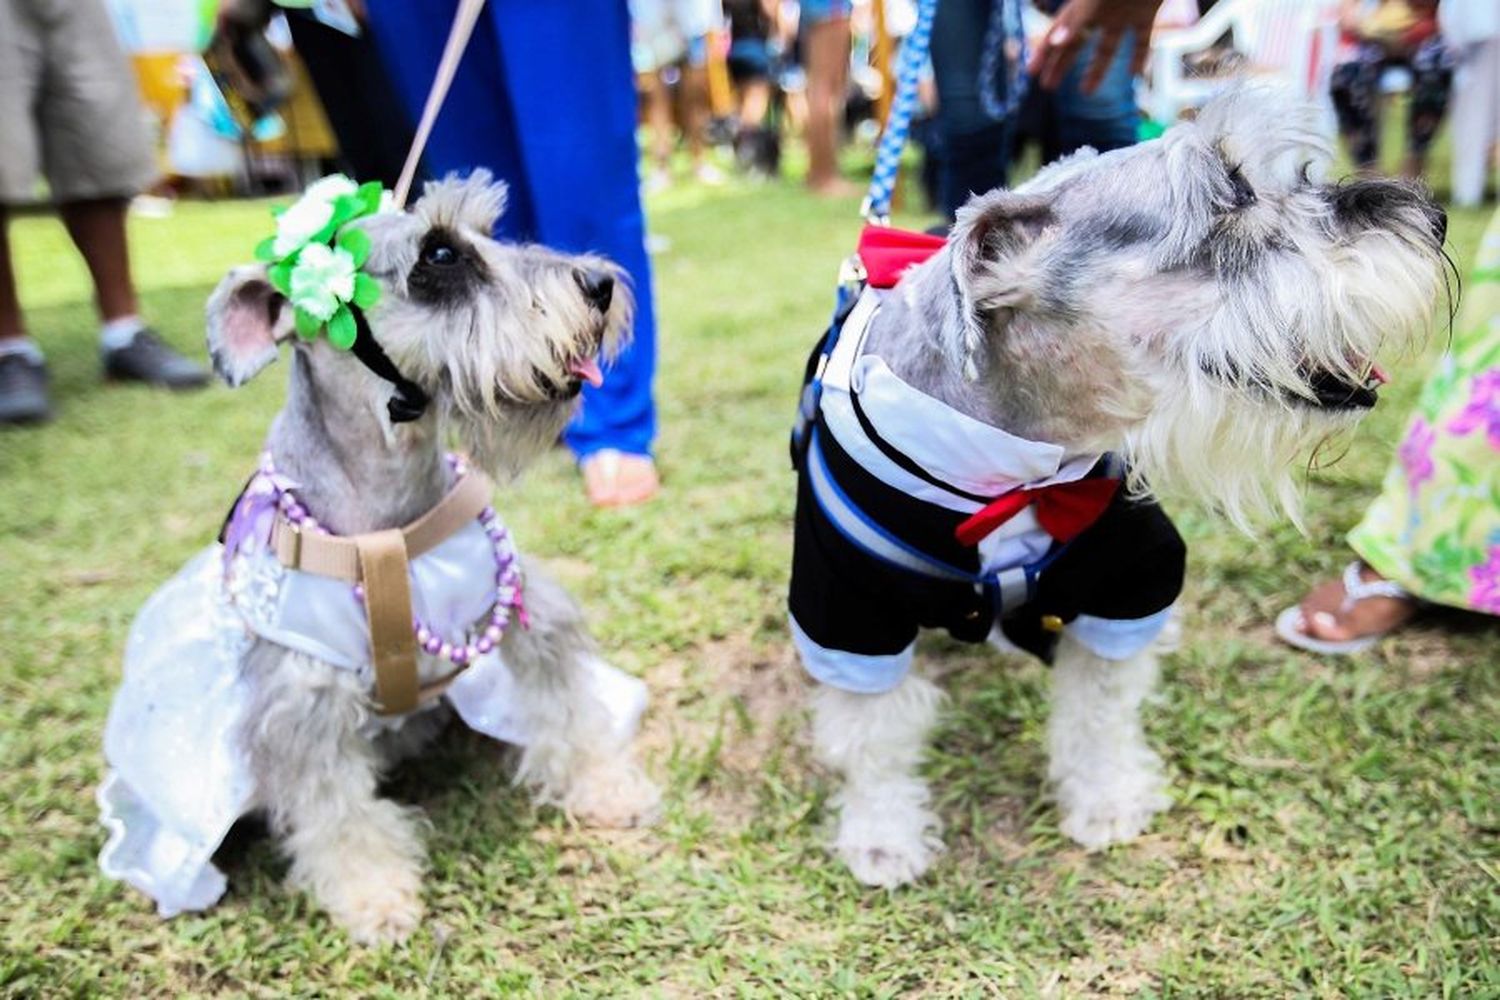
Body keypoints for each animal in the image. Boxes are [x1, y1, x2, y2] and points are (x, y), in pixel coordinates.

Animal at [93, 172, 657, 947]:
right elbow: (333, 809)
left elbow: (567, 707)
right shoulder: (301, 704)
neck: (389, 513)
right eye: (441, 254)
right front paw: (372, 895)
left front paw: (604, 786)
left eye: (490, 231)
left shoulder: (525, 613)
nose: (600, 283)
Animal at [792, 83, 1446, 881]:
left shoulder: (1126, 582)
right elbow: (873, 736)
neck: (1025, 466)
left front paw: (1105, 798)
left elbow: (1099, 709)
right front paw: (882, 834)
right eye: (1227, 200)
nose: (1435, 218)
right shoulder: (848, 611)